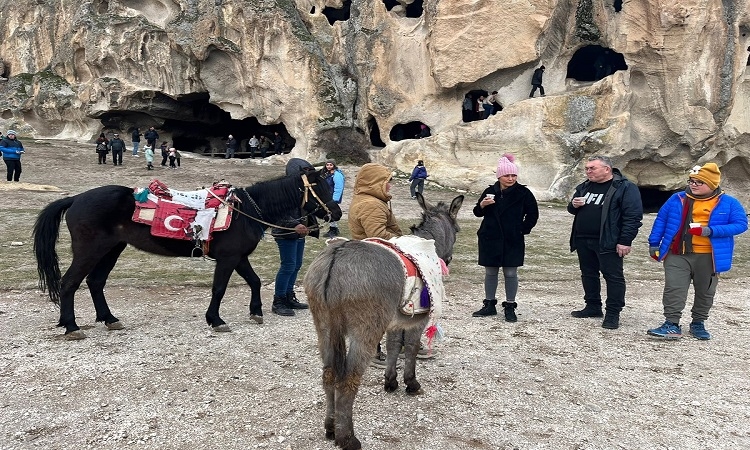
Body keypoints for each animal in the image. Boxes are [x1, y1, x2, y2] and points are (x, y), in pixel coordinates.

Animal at [34, 171, 340, 340]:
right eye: (320, 187)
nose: (336, 212)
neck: (245, 211)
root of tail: (76, 198)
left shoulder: (239, 257)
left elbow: (253, 281)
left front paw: (256, 312)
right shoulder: (228, 258)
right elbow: (219, 289)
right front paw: (216, 320)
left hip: (111, 250)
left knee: (96, 283)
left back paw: (109, 319)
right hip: (90, 250)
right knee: (69, 283)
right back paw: (71, 326)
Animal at [306, 193, 464, 450]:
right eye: (457, 229)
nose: (448, 260)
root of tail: (336, 256)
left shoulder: (396, 320)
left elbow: (393, 346)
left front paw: (390, 382)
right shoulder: (417, 320)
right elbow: (410, 348)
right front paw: (410, 383)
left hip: (325, 328)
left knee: (329, 374)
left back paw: (330, 428)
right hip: (365, 331)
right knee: (348, 379)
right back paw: (347, 438)